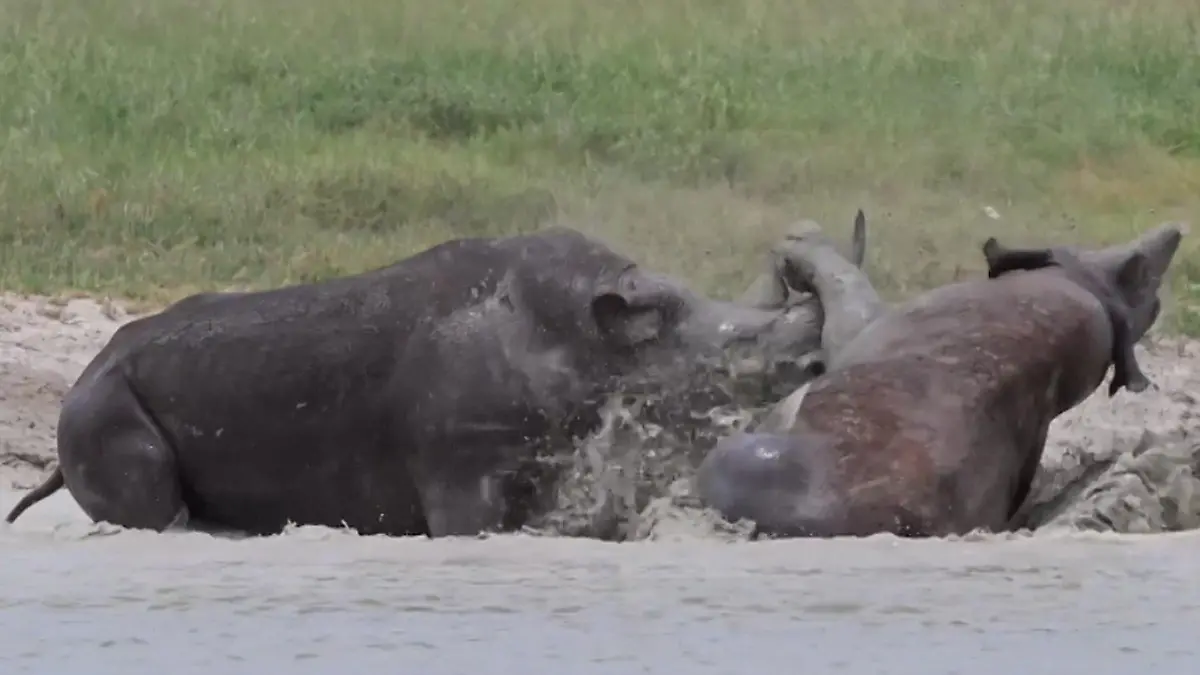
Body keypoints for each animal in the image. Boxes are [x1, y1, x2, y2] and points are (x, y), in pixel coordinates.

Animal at [6, 219, 871, 538]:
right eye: (721, 367)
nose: (817, 365)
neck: (581, 336)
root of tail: (79, 374)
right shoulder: (463, 464)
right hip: (97, 405)